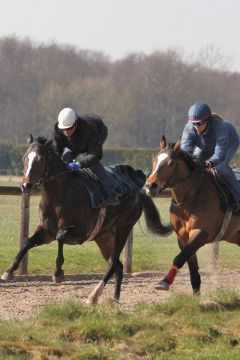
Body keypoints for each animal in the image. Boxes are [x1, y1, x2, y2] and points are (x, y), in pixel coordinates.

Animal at [0, 136, 172, 306]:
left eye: (40, 159)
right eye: (24, 158)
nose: (25, 186)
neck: (59, 196)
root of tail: (138, 192)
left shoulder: (81, 232)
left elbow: (60, 235)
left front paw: (58, 273)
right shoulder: (46, 231)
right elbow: (27, 242)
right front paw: (9, 271)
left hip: (123, 229)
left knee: (112, 263)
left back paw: (93, 296)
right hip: (104, 238)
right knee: (118, 266)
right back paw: (115, 300)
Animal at [144, 136, 240, 294]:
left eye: (170, 163)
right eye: (154, 160)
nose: (150, 186)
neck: (190, 198)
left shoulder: (201, 232)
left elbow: (179, 258)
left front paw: (164, 282)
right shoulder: (183, 238)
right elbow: (192, 268)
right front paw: (196, 296)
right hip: (235, 235)